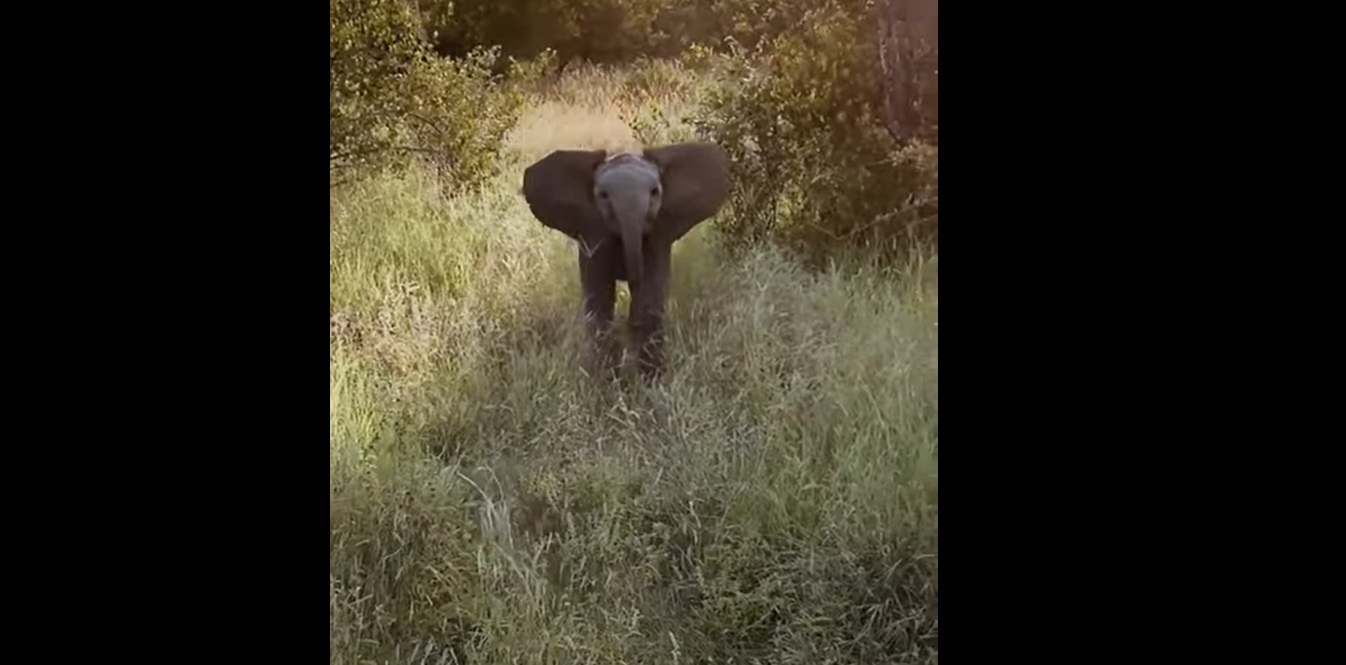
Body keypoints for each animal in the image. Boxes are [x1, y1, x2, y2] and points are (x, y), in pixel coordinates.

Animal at [522, 141, 732, 379]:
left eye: (655, 192)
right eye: (603, 195)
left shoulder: (658, 230)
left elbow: (649, 301)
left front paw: (650, 382)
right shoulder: (594, 228)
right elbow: (599, 305)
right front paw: (604, 382)